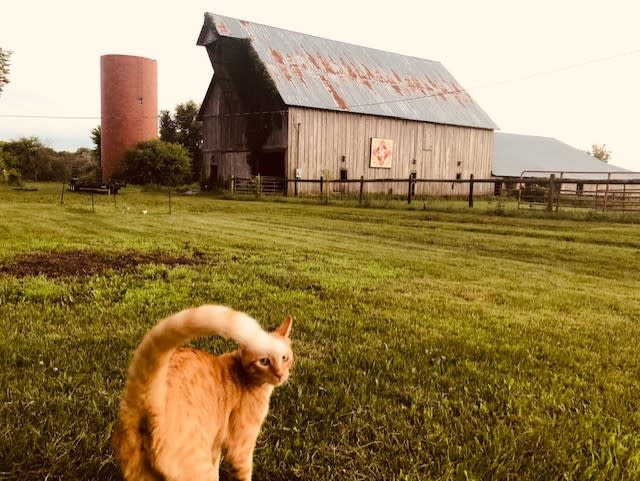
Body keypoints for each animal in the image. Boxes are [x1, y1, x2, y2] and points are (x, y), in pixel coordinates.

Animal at [113, 304, 296, 480]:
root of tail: (149, 399)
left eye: (285, 358)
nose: (280, 375)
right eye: (264, 361)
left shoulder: (215, 443)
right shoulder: (240, 451)